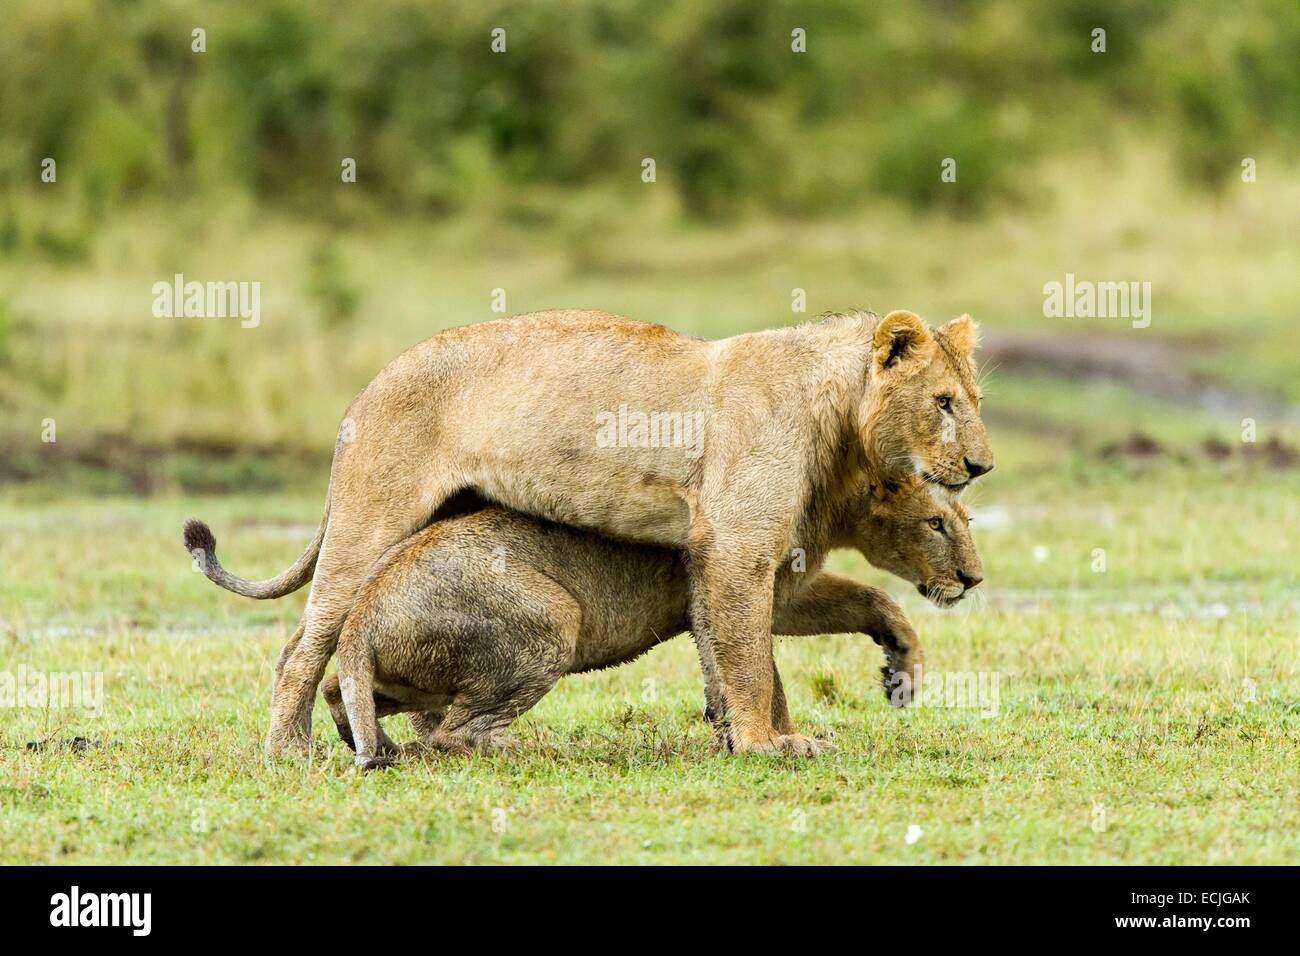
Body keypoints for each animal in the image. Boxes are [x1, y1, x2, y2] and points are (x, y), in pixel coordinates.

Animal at [312, 478, 982, 770]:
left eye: (966, 519)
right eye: (936, 524)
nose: (974, 579)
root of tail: (361, 615)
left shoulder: (769, 589)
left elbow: (872, 600)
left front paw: (901, 667)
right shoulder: (734, 578)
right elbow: (761, 673)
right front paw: (783, 743)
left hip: (393, 674)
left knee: (339, 692)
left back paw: (377, 741)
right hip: (554, 618)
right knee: (453, 734)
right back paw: (525, 747)